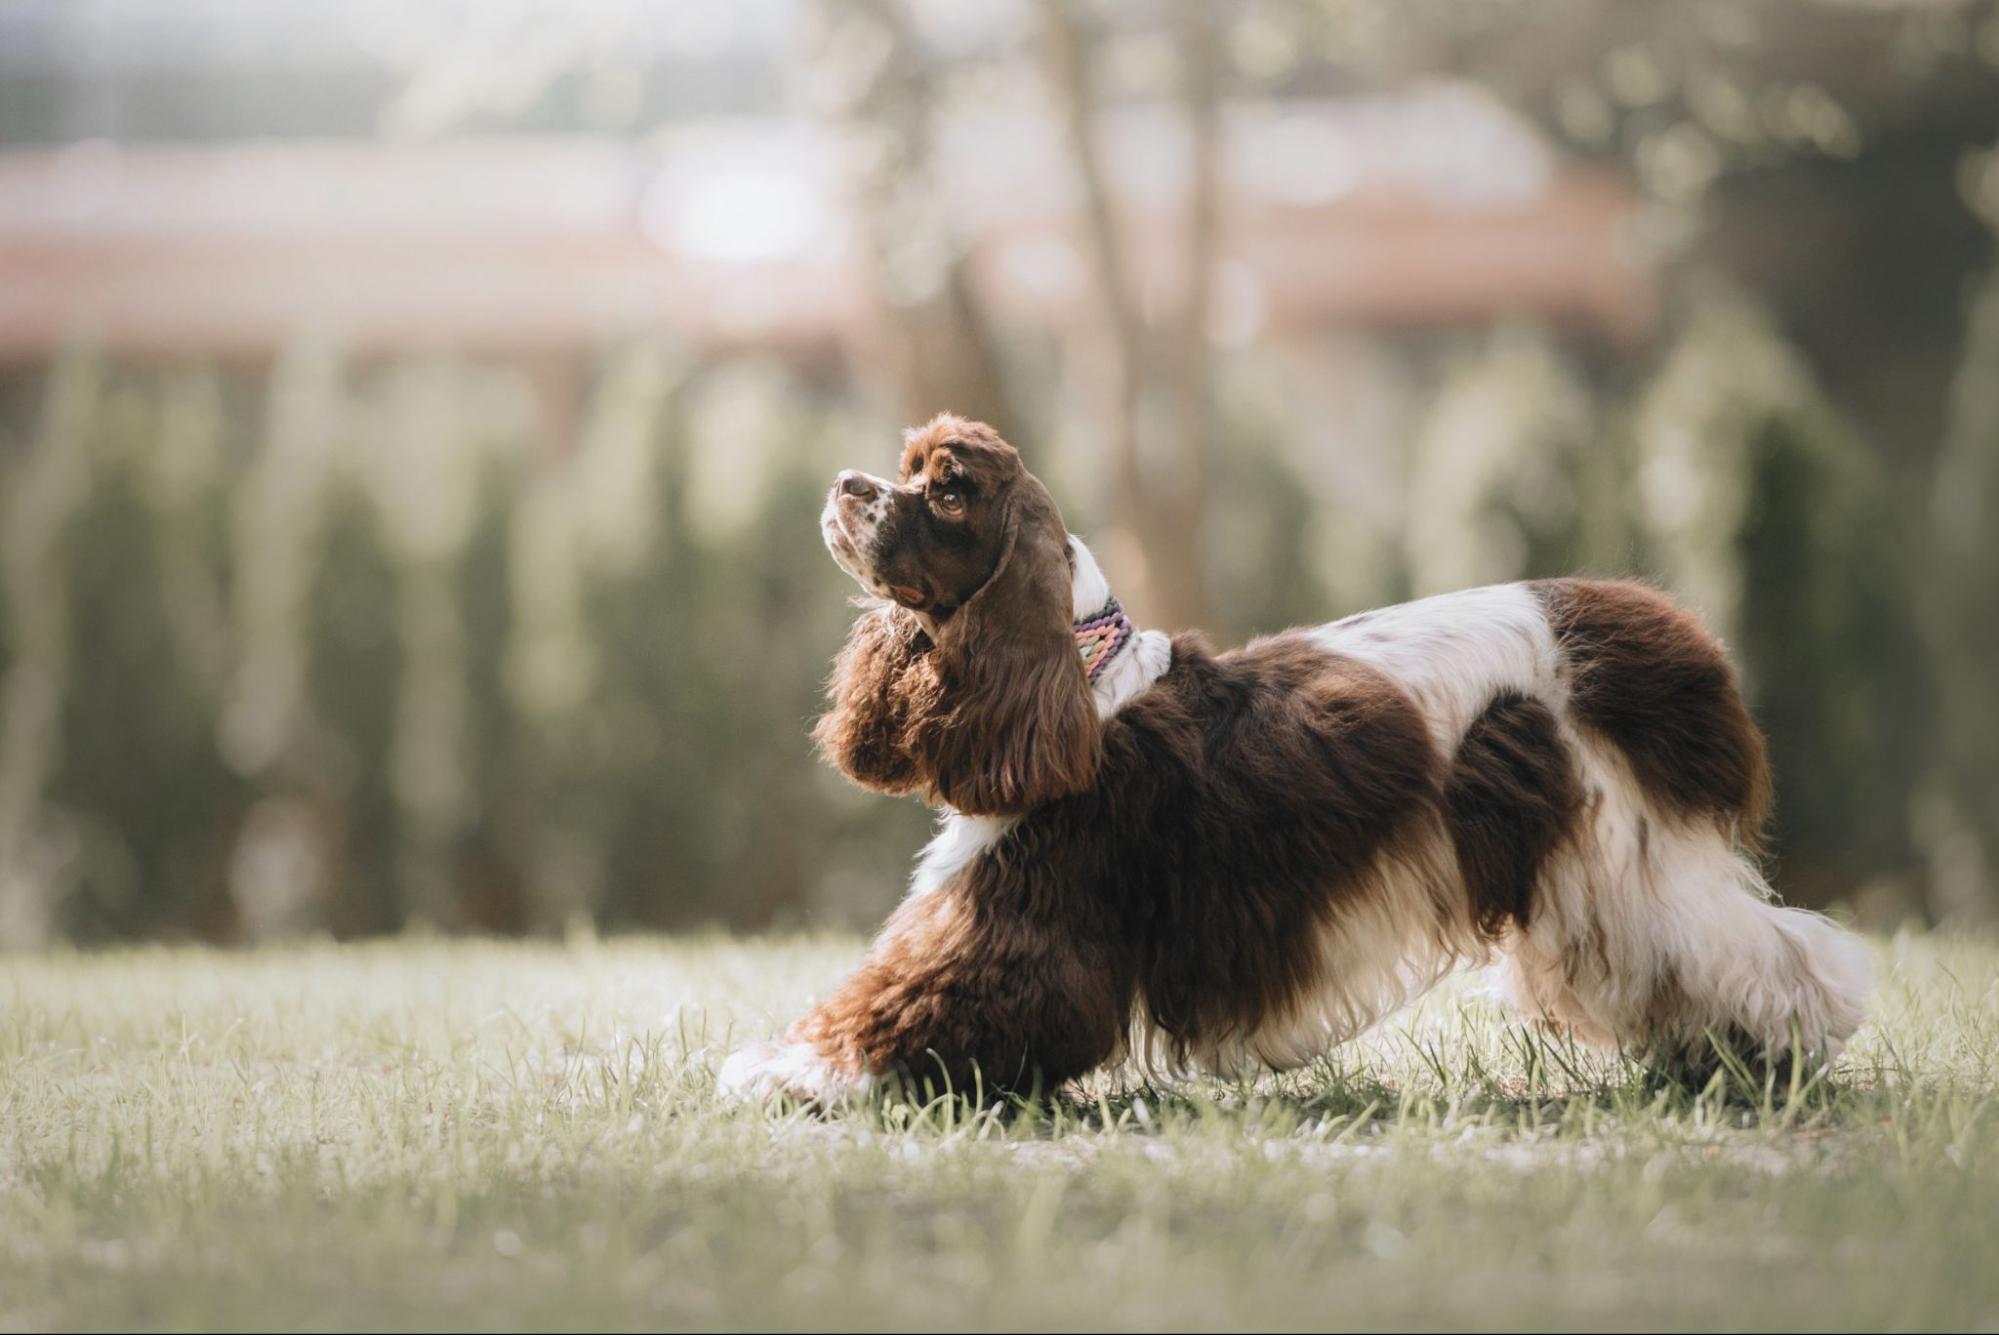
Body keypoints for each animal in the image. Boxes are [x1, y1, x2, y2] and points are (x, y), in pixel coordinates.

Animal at [723, 417, 1871, 1103]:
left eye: (949, 491)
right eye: (908, 466)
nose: (847, 483)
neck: (1079, 686)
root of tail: (1650, 623)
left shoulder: (1024, 925)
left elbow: (903, 1005)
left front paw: (785, 1072)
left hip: (1623, 858)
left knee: (1761, 951)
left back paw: (1775, 1057)